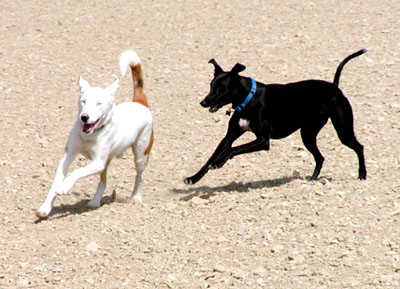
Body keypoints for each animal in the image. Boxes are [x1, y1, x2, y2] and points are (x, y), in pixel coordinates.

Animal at [36, 50, 154, 216]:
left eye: (99, 103)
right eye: (83, 101)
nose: (84, 117)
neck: (89, 135)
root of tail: (139, 102)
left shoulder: (98, 161)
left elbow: (77, 171)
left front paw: (64, 186)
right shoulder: (68, 156)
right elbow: (56, 181)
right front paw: (45, 208)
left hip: (141, 154)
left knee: (140, 175)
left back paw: (135, 197)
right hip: (107, 160)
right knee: (103, 181)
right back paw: (95, 201)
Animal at [184, 48, 366, 183]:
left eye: (222, 89)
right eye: (211, 85)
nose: (204, 102)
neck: (248, 99)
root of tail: (334, 87)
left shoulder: (263, 141)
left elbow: (234, 149)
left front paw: (219, 162)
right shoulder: (229, 136)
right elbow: (214, 155)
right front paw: (194, 178)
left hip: (342, 129)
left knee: (358, 147)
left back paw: (362, 175)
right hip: (308, 133)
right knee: (320, 158)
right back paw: (312, 179)